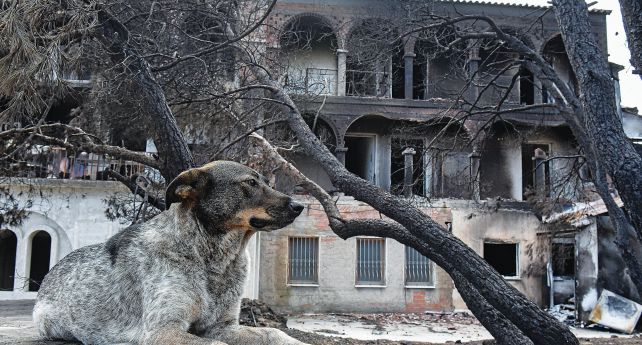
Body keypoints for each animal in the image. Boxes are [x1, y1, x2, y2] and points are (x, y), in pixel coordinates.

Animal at [32, 161, 308, 344]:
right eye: (250, 183)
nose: (299, 206)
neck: (214, 259)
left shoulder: (224, 326)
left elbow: (274, 333)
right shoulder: (163, 330)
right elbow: (217, 344)